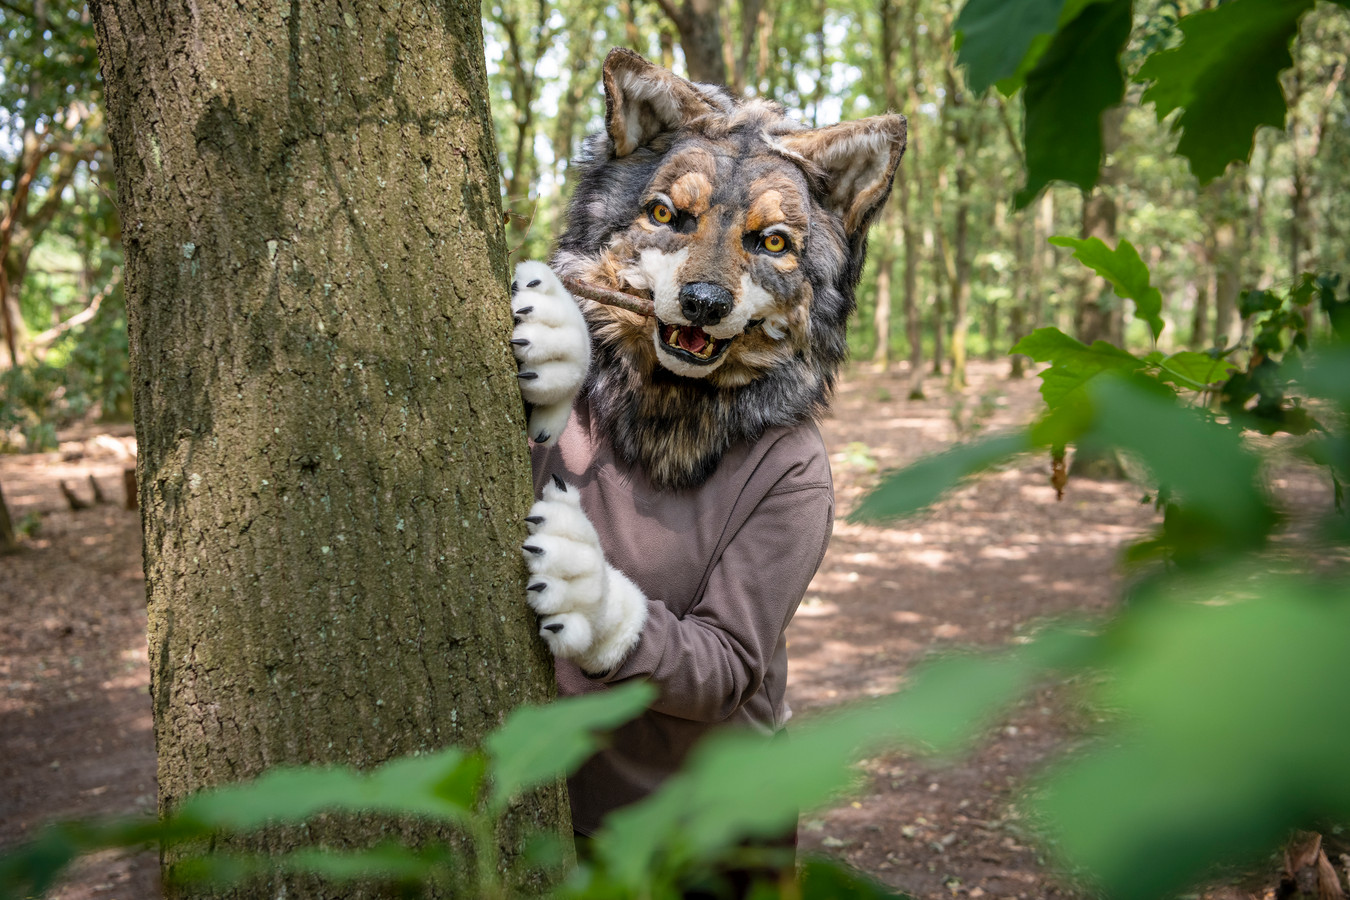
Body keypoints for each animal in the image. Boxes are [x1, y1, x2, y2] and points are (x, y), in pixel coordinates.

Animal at [508, 48, 906, 839]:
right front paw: (559, 336)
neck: (672, 415)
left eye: (771, 242)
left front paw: (585, 589)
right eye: (667, 215)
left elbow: (722, 646)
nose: (703, 304)